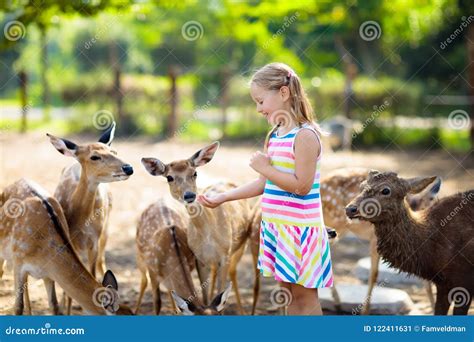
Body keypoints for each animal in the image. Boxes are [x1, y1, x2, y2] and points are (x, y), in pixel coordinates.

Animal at [46, 122, 133, 312]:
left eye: (114, 151)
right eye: (94, 157)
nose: (129, 168)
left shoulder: (94, 240)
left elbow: (92, 274)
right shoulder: (69, 242)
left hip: (106, 230)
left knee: (102, 262)